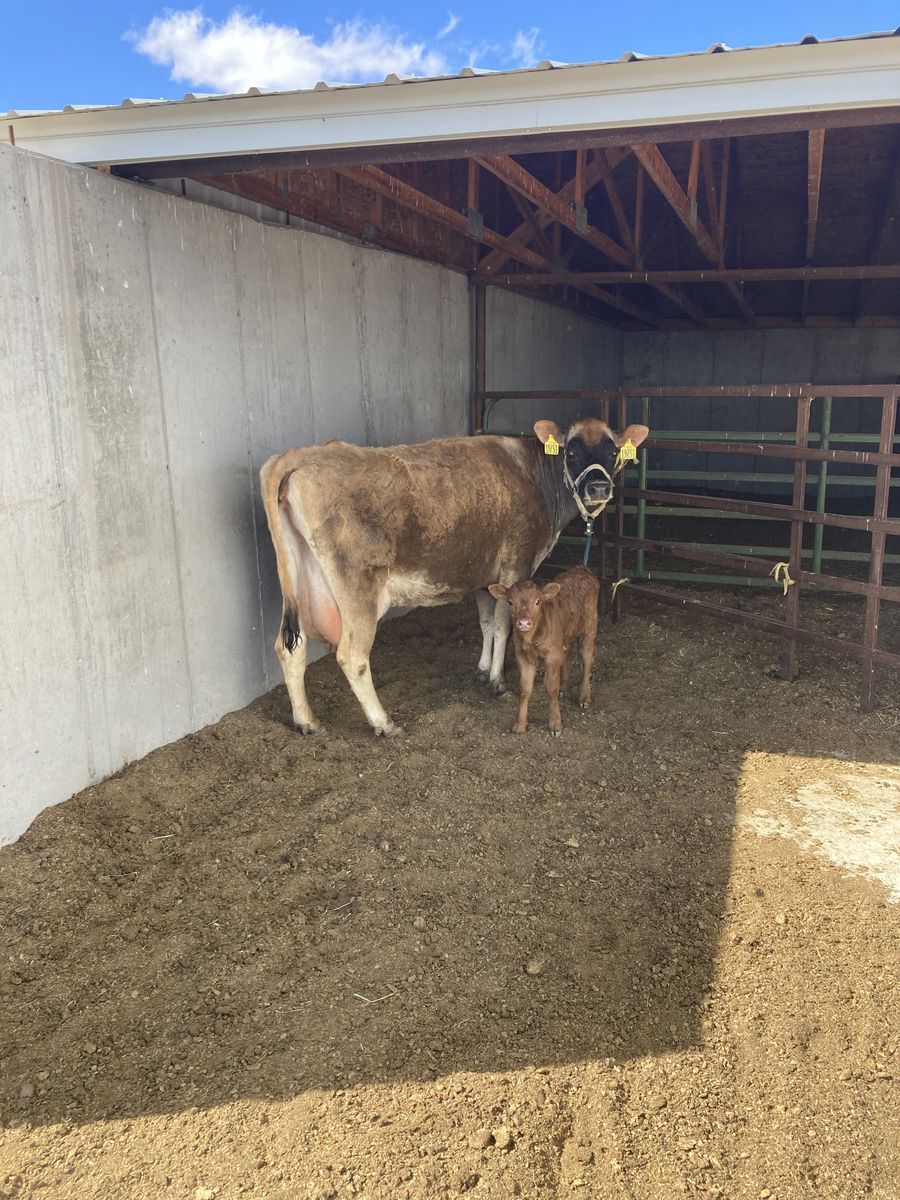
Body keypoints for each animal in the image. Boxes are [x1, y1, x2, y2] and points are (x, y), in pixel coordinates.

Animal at [488, 565, 600, 737]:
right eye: (510, 602)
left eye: (537, 601)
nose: (524, 623)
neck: (530, 639)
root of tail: (582, 569)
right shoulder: (522, 656)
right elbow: (525, 689)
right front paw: (520, 724)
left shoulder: (552, 655)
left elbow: (551, 687)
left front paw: (555, 724)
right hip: (566, 635)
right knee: (567, 655)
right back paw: (564, 688)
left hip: (590, 625)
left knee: (587, 657)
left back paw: (584, 697)